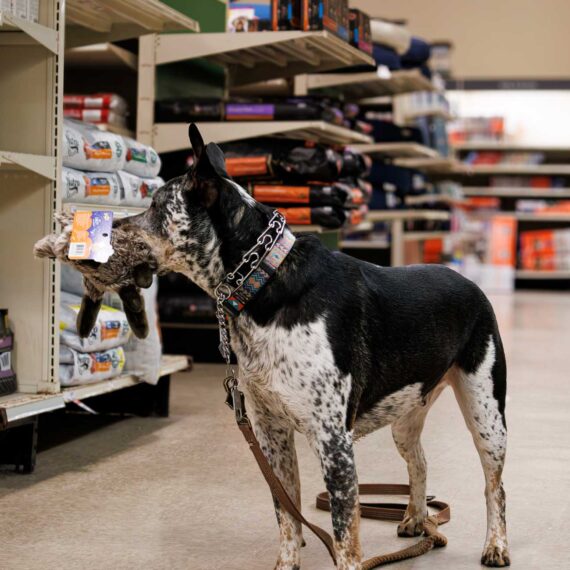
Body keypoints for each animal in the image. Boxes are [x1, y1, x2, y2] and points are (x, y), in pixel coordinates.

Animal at [115, 126, 506, 564]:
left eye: (155, 206)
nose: (112, 224)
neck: (263, 278)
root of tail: (469, 282)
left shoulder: (334, 442)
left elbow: (345, 537)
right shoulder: (271, 434)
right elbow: (287, 515)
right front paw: (287, 563)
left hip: (486, 415)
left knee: (495, 488)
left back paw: (495, 545)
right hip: (406, 414)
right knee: (419, 463)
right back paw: (417, 520)